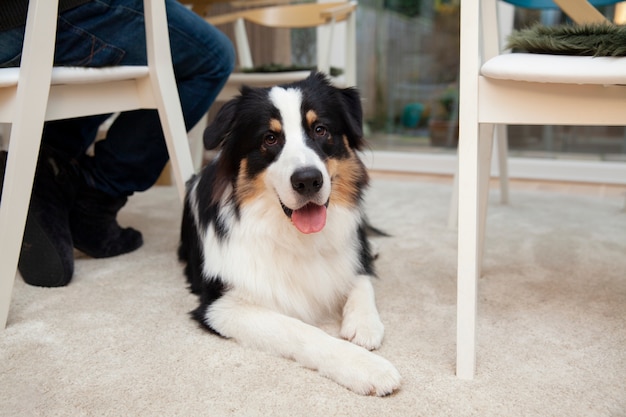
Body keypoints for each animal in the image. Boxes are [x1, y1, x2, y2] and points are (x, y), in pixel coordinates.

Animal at [176, 72, 400, 396]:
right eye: (270, 138)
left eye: (320, 129)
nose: (308, 180)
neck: (294, 235)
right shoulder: (220, 306)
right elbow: (301, 330)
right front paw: (366, 367)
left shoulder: (352, 252)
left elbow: (362, 278)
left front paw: (364, 324)